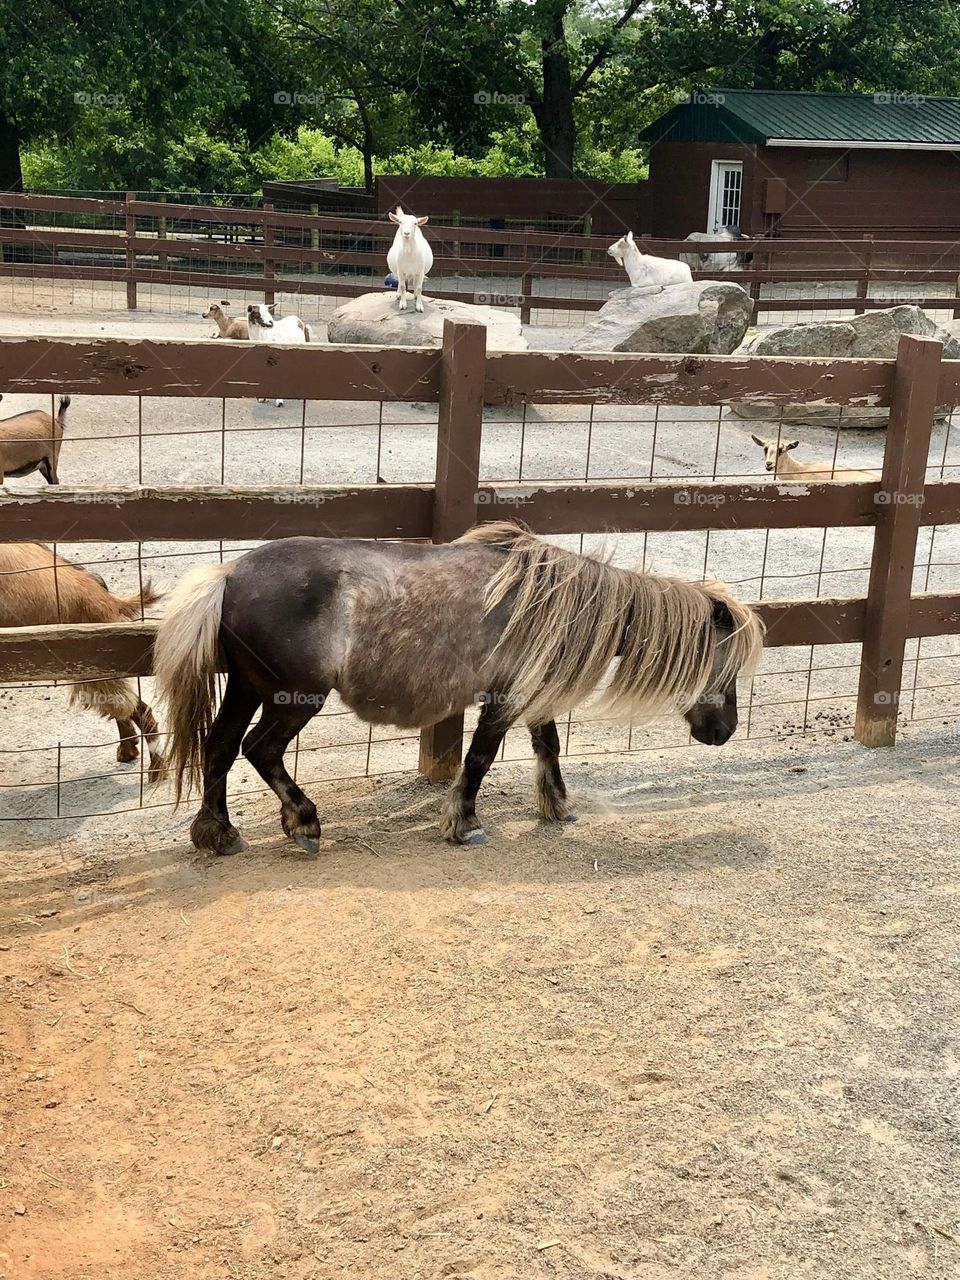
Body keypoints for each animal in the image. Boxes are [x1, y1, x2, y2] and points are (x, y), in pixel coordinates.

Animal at [153, 523, 763, 855]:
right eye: (725, 663)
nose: (724, 731)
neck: (545, 599)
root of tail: (230, 575)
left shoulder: (530, 693)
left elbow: (547, 746)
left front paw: (557, 807)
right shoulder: (503, 698)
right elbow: (480, 758)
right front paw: (464, 823)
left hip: (246, 688)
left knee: (219, 747)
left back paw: (219, 834)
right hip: (291, 697)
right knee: (260, 749)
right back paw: (303, 821)